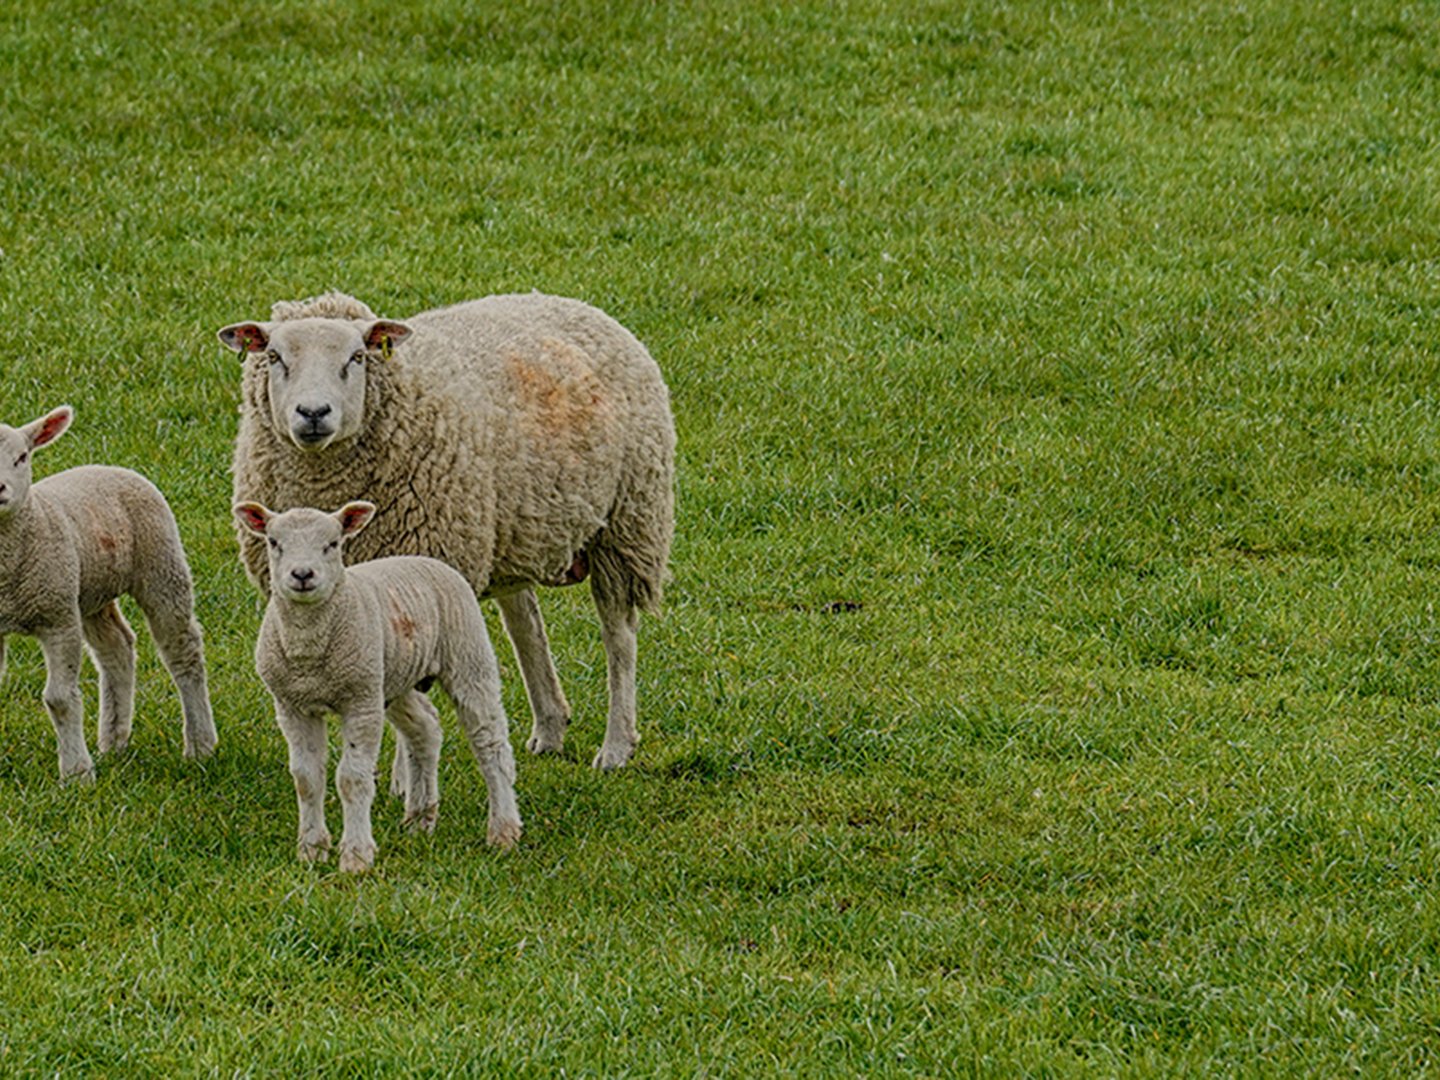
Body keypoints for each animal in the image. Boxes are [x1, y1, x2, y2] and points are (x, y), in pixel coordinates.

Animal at [0, 405, 217, 782]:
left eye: (22, 457)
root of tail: (107, 466)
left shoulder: (59, 617)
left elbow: (60, 698)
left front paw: (76, 773)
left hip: (162, 566)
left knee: (183, 650)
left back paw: (200, 745)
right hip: (91, 593)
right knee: (117, 648)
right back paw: (114, 741)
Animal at [220, 291, 675, 771]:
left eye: (357, 357)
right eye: (274, 356)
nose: (313, 413)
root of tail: (573, 303)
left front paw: (404, 777)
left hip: (628, 522)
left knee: (618, 635)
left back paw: (617, 745)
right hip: (510, 526)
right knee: (526, 622)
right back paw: (551, 728)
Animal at [234, 499, 522, 872]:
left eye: (333, 544)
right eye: (273, 542)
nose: (302, 575)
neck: (310, 651)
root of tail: (423, 558)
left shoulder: (360, 703)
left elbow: (352, 779)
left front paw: (356, 856)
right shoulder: (293, 706)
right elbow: (306, 779)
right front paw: (311, 850)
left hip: (467, 657)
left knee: (490, 742)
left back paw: (503, 830)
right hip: (393, 679)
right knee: (425, 728)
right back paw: (420, 818)